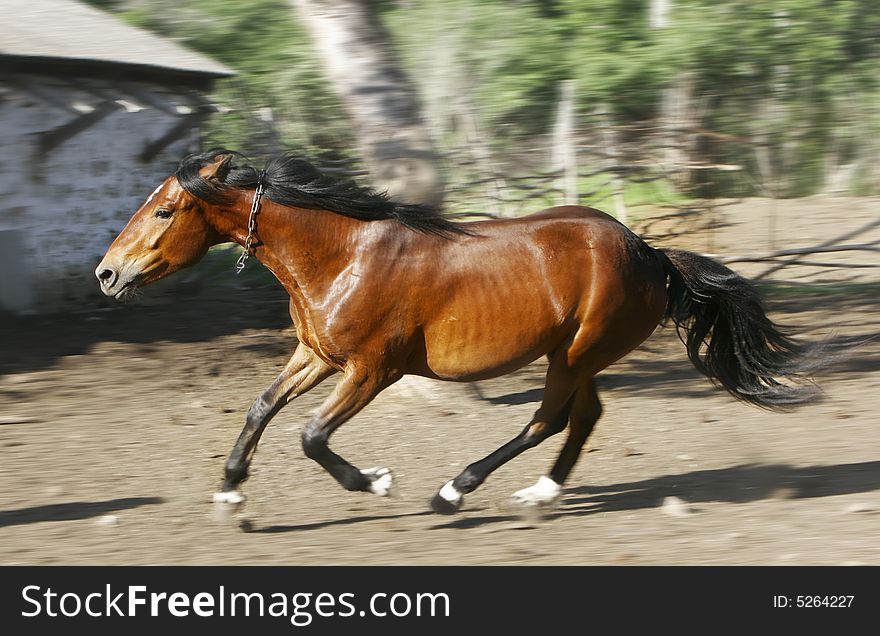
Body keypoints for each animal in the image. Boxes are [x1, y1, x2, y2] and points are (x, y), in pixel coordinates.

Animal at [93, 150, 820, 516]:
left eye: (164, 210)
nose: (106, 273)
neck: (341, 257)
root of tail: (650, 253)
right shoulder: (316, 355)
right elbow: (261, 408)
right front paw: (229, 490)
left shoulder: (372, 369)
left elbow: (311, 436)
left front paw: (378, 482)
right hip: (575, 354)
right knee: (583, 417)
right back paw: (540, 493)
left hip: (578, 352)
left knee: (549, 420)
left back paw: (452, 491)